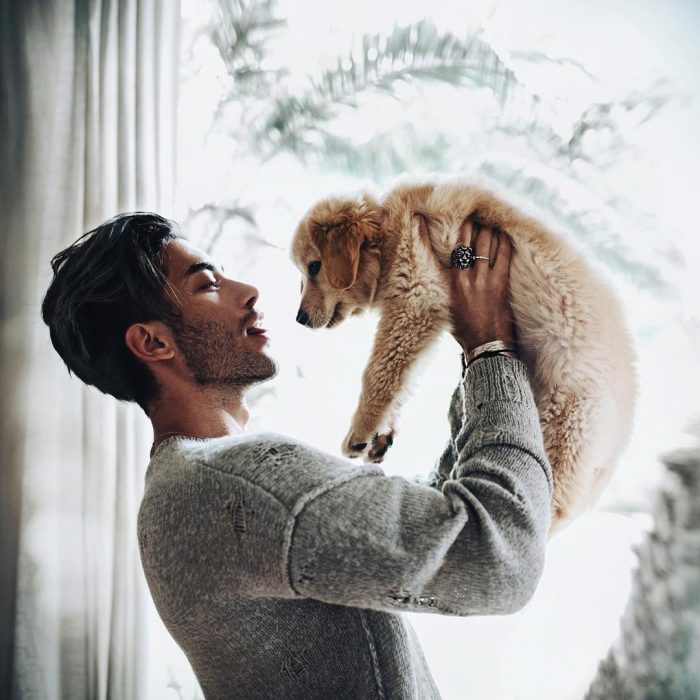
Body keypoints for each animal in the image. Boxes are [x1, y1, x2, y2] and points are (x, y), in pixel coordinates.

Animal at [288, 172, 636, 532]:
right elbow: (404, 379)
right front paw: (381, 433)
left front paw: (361, 430)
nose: (299, 319)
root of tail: (617, 444)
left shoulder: (417, 296)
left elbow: (381, 372)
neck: (389, 227)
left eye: (314, 267)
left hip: (561, 444)